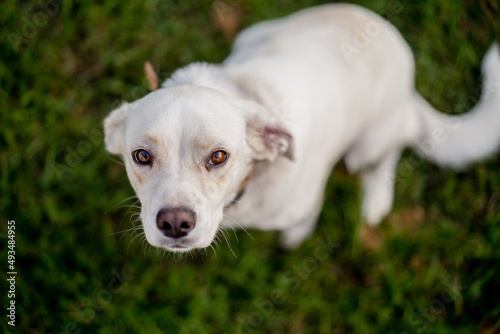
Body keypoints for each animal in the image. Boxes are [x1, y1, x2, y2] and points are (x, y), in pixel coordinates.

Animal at [104, 3, 500, 252]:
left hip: (368, 146)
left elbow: (303, 223)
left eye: (218, 157)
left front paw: (296, 237)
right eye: (141, 156)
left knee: (391, 151)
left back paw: (376, 198)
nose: (174, 223)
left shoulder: (306, 203)